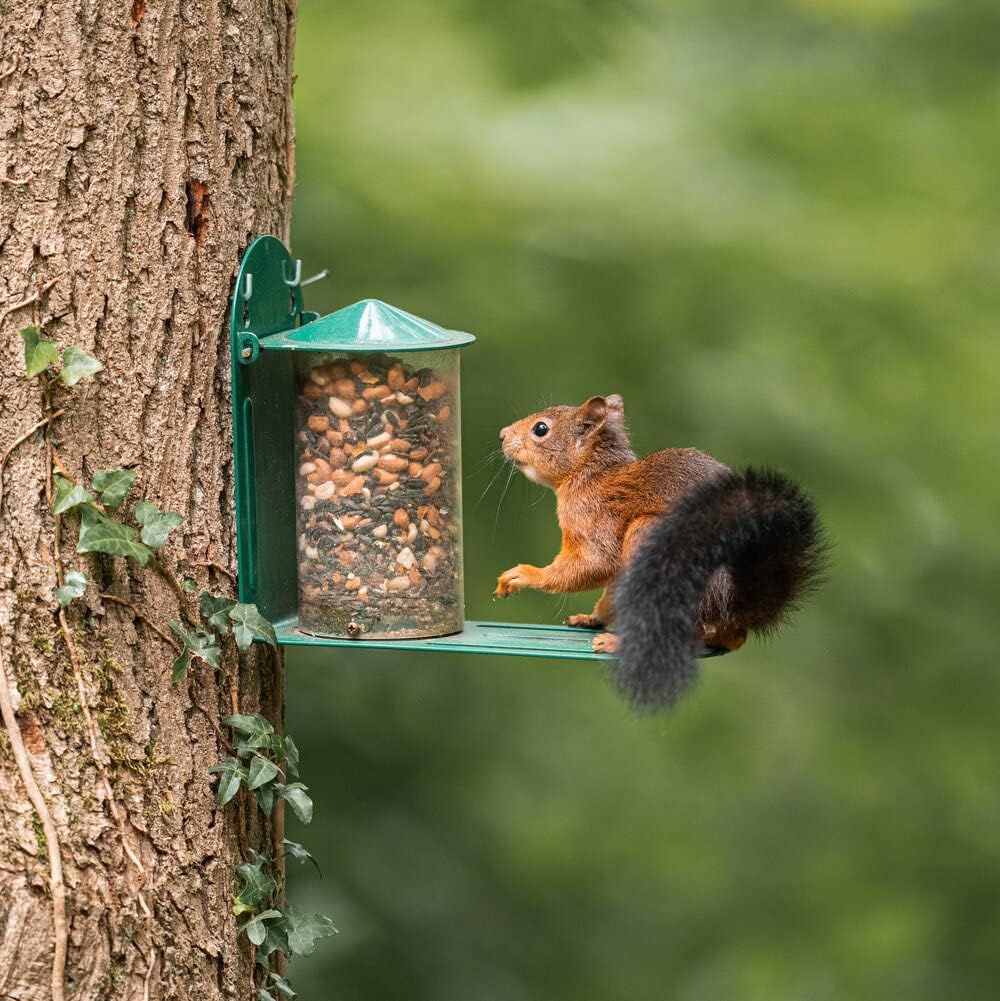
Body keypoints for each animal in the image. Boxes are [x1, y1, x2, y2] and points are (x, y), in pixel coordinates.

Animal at [494, 394, 826, 711]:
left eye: (541, 429)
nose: (501, 435)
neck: (589, 474)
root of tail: (733, 605)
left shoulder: (595, 522)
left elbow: (593, 564)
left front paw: (523, 574)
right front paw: (591, 617)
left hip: (649, 537)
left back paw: (618, 643)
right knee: (732, 638)